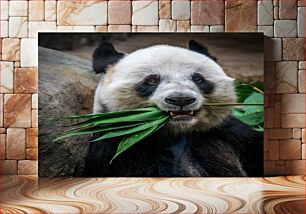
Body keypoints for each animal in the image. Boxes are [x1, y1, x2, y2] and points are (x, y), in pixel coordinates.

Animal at [83, 39, 262, 176]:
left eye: (198, 78)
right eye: (151, 80)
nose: (181, 99)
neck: (178, 131)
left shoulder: (226, 131)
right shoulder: (120, 146)